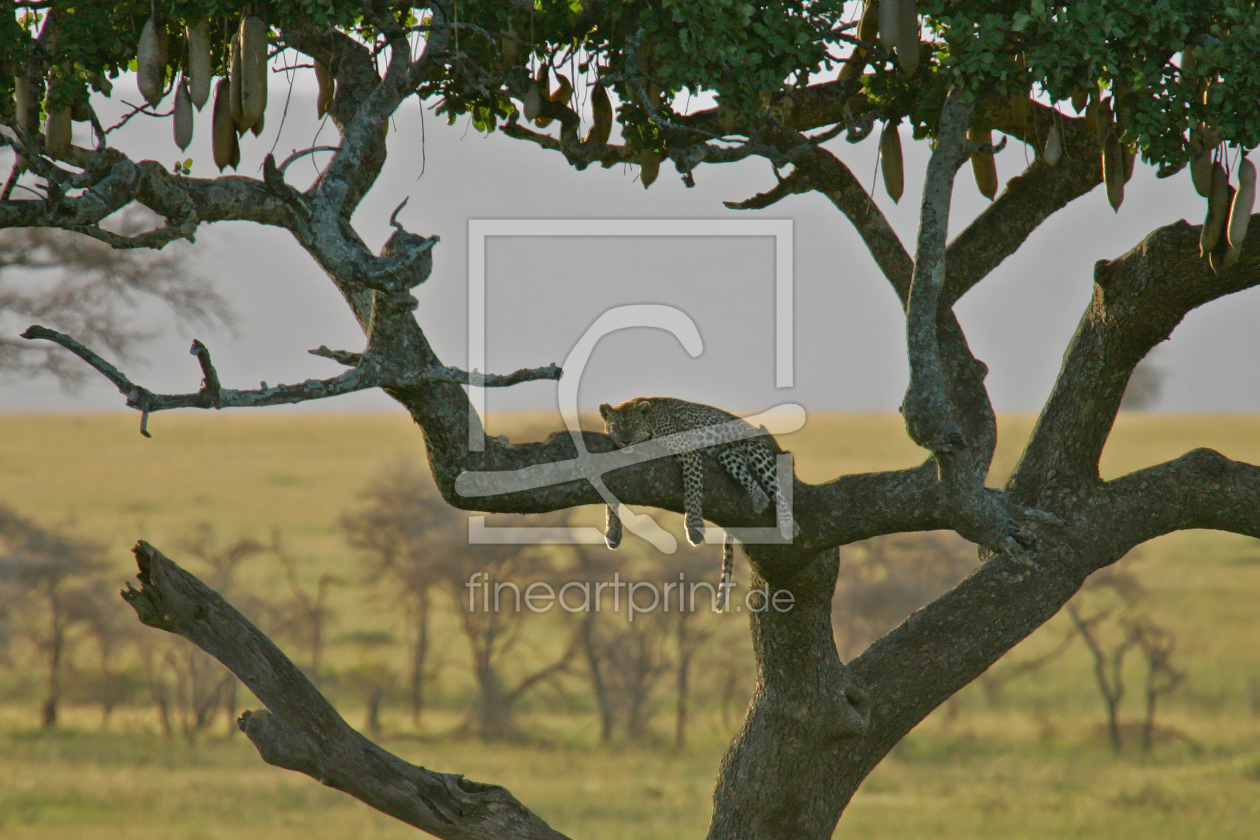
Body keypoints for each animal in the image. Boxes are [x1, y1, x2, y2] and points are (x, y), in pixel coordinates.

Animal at [599, 397, 796, 607]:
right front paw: (613, 531)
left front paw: (694, 529)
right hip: (728, 456)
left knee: (777, 488)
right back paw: (759, 499)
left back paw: (788, 526)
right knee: (752, 481)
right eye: (616, 427)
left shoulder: (688, 451)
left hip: (755, 448)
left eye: (635, 425)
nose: (626, 441)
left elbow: (692, 489)